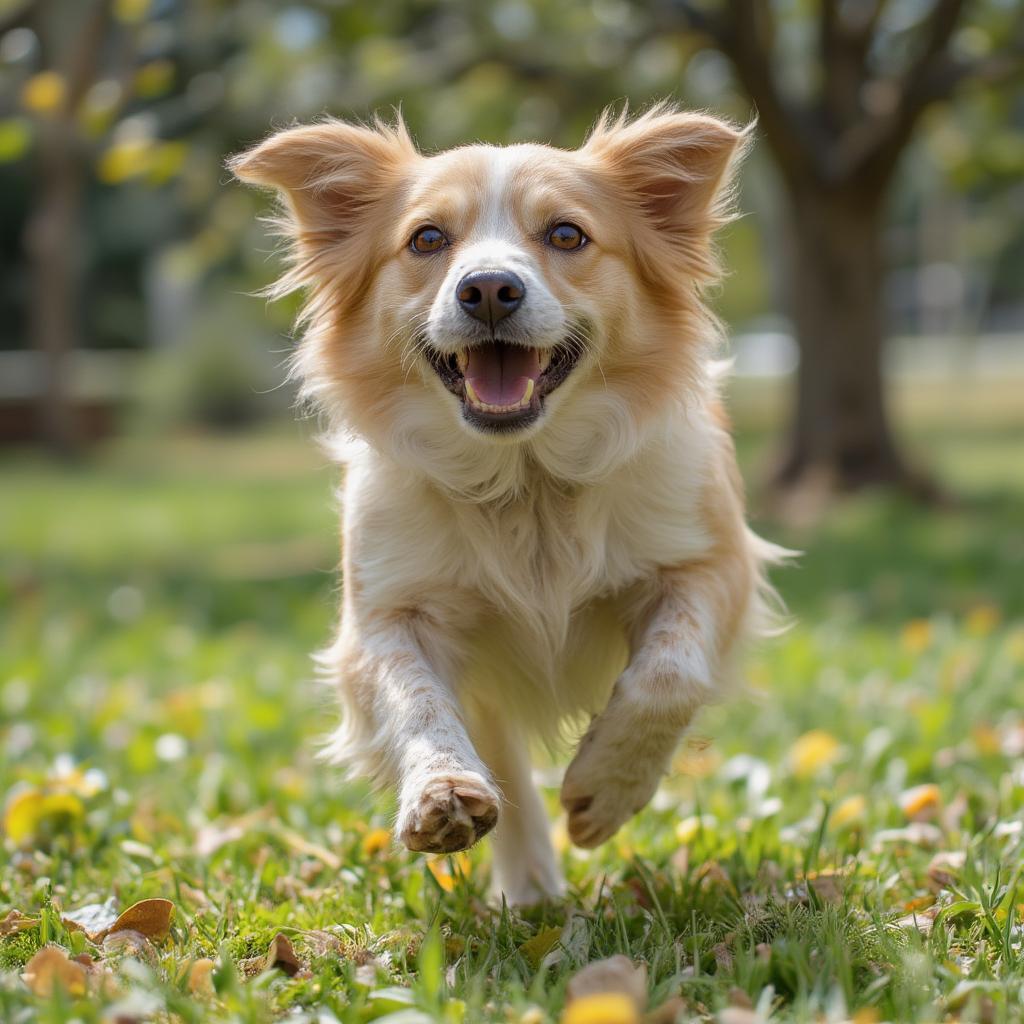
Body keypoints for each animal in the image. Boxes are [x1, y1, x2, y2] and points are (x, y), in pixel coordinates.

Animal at [232, 105, 782, 905]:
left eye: (567, 235)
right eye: (427, 239)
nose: (488, 288)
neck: (527, 481)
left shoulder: (711, 563)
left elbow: (667, 674)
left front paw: (606, 788)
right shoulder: (386, 614)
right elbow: (416, 699)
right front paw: (441, 793)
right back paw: (531, 893)